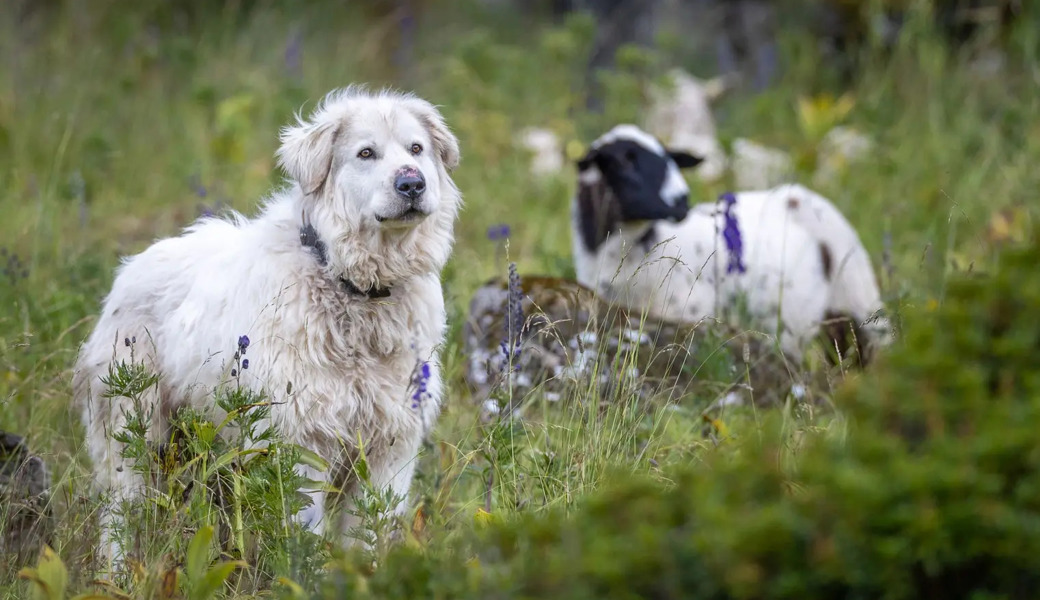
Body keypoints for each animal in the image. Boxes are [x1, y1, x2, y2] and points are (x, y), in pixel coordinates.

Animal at [73, 85, 463, 565]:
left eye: (416, 149)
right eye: (366, 153)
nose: (412, 183)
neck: (353, 287)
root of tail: (128, 269)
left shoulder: (391, 446)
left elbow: (370, 534)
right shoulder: (302, 445)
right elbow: (307, 537)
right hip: (134, 434)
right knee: (118, 516)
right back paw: (116, 573)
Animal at [574, 123, 890, 361]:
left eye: (669, 159)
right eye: (625, 160)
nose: (681, 200)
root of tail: (796, 195)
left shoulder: (688, 312)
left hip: (850, 298)